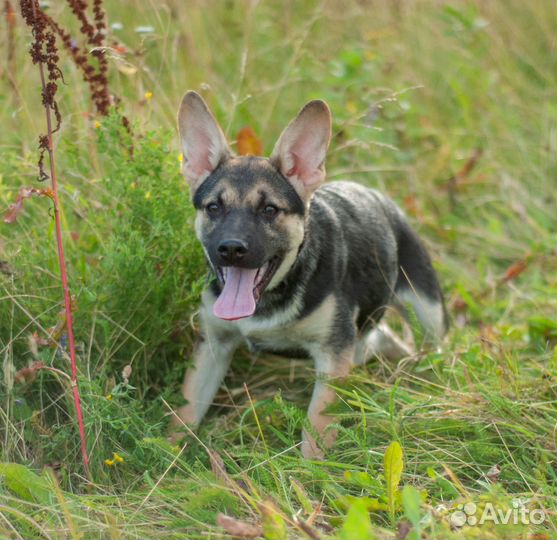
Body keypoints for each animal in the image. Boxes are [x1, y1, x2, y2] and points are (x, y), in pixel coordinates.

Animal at [172, 90, 446, 458]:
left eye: (269, 210)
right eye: (214, 207)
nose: (230, 248)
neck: (271, 296)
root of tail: (375, 195)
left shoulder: (332, 355)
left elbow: (316, 424)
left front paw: (311, 468)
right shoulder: (212, 347)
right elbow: (186, 411)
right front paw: (165, 451)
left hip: (427, 307)